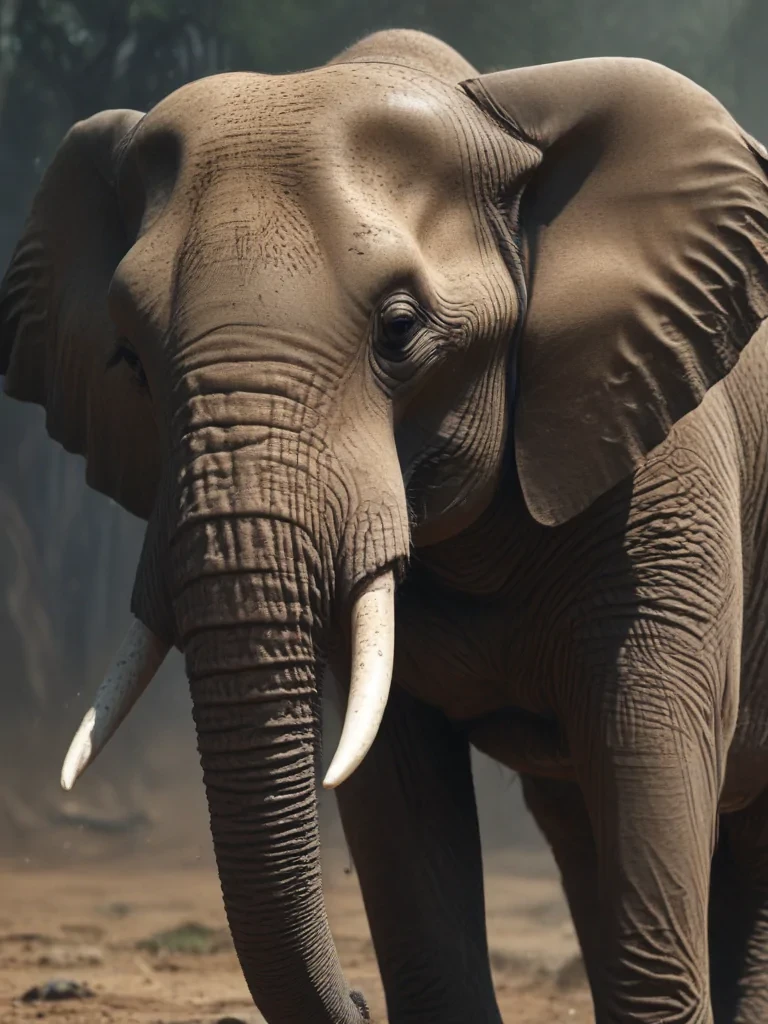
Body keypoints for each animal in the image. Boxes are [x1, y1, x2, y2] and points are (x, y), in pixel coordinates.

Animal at [4, 23, 768, 1024]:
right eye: (129, 359)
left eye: (400, 331)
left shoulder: (665, 461)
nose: (358, 1004)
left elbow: (646, 727)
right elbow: (393, 787)